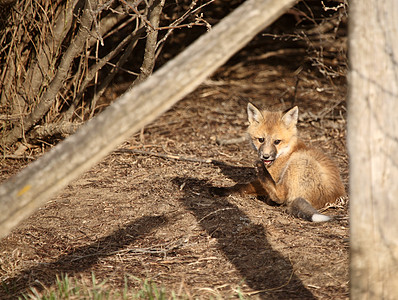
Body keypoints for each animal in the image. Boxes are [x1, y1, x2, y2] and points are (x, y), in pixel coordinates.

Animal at [211, 102, 346, 221]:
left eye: (277, 141)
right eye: (261, 139)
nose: (265, 156)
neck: (287, 152)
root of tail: (331, 198)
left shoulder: (275, 177)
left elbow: (242, 186)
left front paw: (220, 190)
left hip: (298, 162)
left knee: (281, 196)